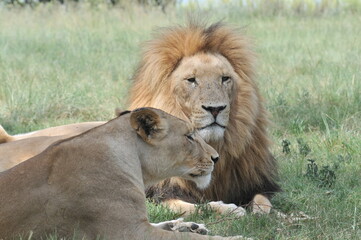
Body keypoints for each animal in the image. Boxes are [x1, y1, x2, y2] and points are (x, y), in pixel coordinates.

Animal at [128, 21, 280, 215]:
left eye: (225, 78)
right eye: (192, 80)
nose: (215, 109)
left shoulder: (256, 183)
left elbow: (263, 201)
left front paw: (263, 213)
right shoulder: (161, 193)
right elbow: (200, 208)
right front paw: (231, 210)